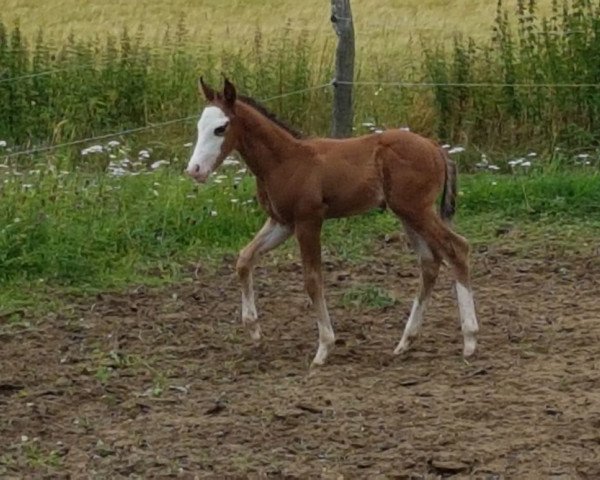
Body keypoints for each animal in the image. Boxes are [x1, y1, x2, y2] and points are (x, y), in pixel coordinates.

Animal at [185, 77, 480, 366]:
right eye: (199, 126)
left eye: (220, 128)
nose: (194, 170)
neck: (284, 161)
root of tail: (436, 148)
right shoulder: (282, 222)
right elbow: (244, 259)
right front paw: (254, 330)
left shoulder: (308, 221)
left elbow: (313, 280)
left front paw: (324, 348)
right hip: (407, 214)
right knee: (430, 262)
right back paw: (405, 342)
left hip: (417, 210)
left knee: (457, 248)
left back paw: (470, 340)